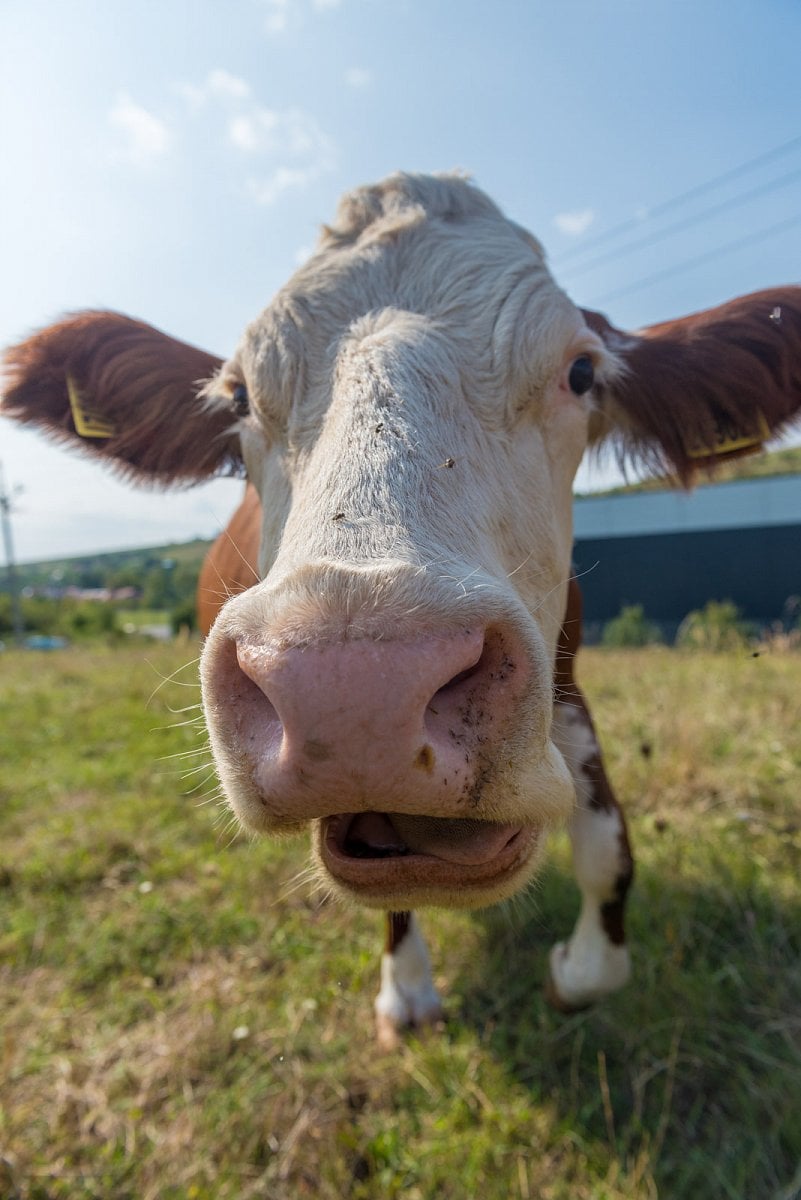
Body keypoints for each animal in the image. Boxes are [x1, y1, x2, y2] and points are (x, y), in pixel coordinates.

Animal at [1, 174, 801, 1046]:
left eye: (582, 372)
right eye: (239, 395)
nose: (355, 685)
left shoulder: (566, 678)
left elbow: (605, 852)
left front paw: (574, 968)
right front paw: (407, 990)